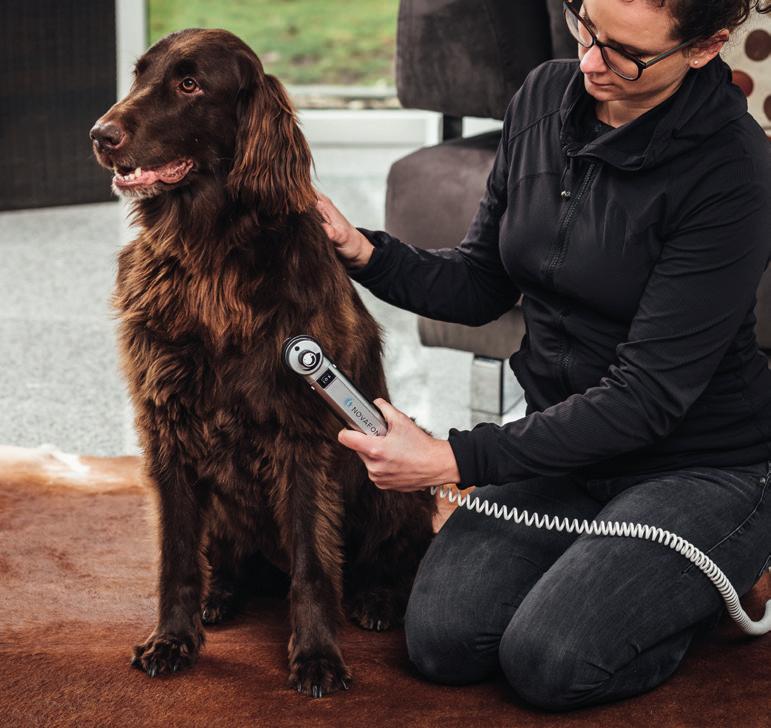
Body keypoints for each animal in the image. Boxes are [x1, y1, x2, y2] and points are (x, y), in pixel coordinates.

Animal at [89, 29, 434, 700]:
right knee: (225, 560)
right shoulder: (166, 429)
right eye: (140, 74)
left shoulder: (302, 435)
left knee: (393, 555)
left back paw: (378, 599)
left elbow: (313, 565)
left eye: (190, 84)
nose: (100, 134)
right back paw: (219, 595)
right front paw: (174, 638)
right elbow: (176, 555)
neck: (206, 255)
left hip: (393, 470)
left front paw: (318, 656)